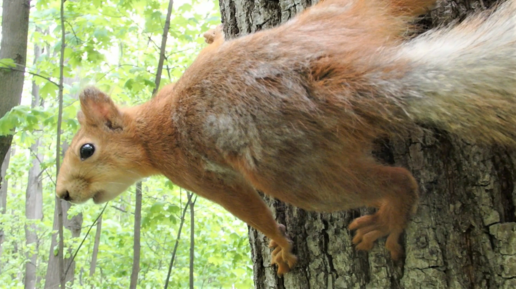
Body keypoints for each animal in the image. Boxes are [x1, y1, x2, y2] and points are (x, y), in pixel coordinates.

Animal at [55, 0, 516, 274]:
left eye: (86, 150)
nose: (63, 195)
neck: (152, 129)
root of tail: (338, 82)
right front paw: (214, 36)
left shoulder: (195, 173)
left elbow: (248, 210)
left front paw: (279, 246)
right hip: (344, 14)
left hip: (292, 172)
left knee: (398, 181)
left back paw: (386, 219)